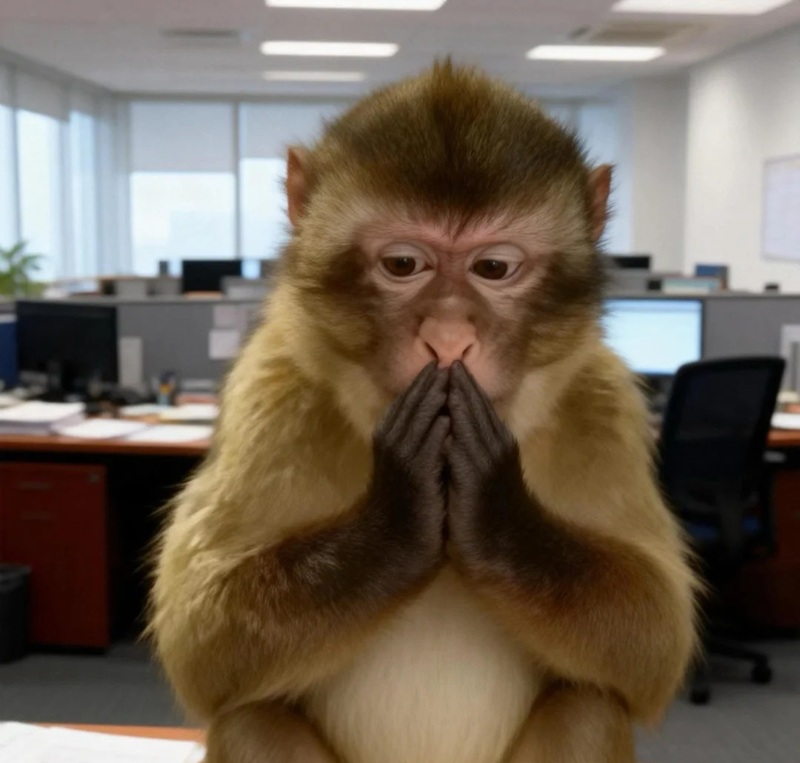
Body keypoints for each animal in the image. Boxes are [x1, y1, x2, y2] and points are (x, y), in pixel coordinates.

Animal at [149, 61, 698, 763]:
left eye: (494, 267)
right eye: (404, 263)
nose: (448, 339)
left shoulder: (602, 404)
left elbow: (655, 636)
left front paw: (495, 513)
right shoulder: (271, 389)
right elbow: (200, 638)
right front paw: (399, 514)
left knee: (590, 704)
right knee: (251, 717)